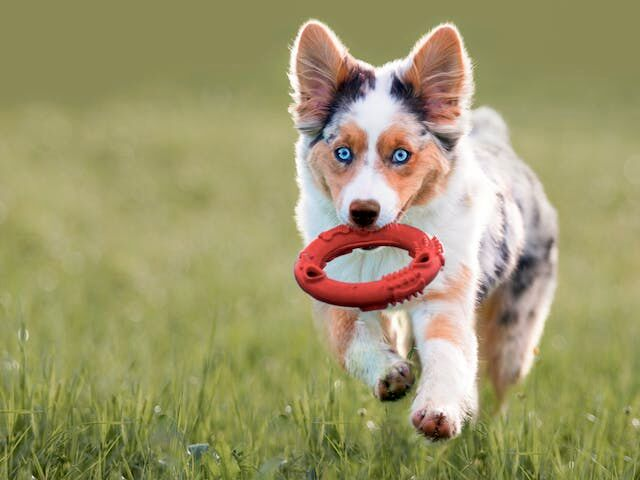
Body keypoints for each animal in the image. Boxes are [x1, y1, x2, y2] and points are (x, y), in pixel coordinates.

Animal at [288, 21, 556, 442]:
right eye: (342, 152)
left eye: (401, 155)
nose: (363, 213)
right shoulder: (335, 291)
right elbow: (352, 338)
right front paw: (390, 375)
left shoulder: (444, 293)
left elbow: (448, 353)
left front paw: (438, 413)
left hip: (514, 330)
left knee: (497, 380)